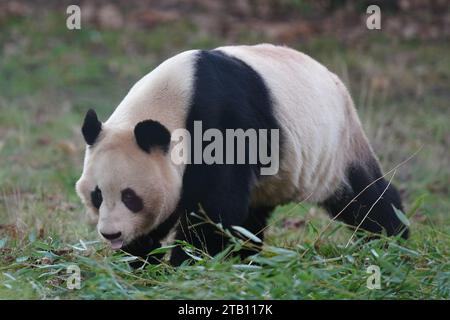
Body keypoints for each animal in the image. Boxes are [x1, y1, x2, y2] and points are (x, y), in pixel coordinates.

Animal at [76, 43, 408, 266]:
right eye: (97, 195)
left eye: (130, 197)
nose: (111, 233)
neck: (175, 98)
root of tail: (334, 79)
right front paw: (141, 259)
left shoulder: (223, 123)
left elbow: (214, 207)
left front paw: (188, 262)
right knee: (253, 215)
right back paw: (247, 259)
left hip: (335, 145)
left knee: (364, 197)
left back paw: (392, 240)